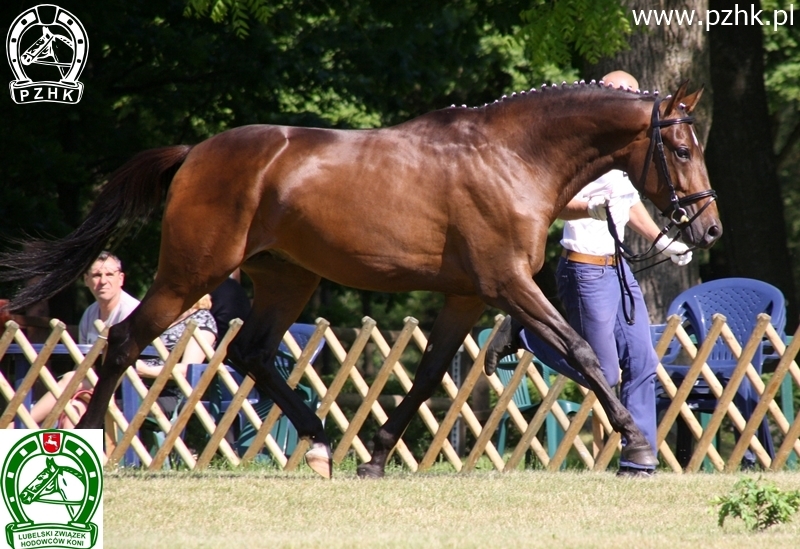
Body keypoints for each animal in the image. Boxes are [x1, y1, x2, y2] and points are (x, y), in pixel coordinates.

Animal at [0, 79, 720, 478]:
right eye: (682, 148)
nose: (708, 230)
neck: (511, 158)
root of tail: (195, 153)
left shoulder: (466, 296)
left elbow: (428, 375)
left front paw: (374, 453)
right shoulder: (508, 284)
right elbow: (581, 351)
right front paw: (636, 440)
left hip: (285, 281)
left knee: (251, 352)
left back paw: (321, 443)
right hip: (188, 274)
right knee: (124, 343)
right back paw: (95, 443)